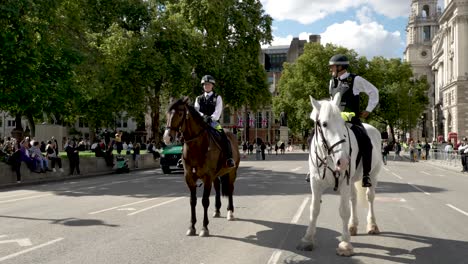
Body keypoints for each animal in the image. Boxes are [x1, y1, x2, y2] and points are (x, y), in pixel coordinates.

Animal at [162, 97, 239, 237]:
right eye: (167, 114)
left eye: (180, 114)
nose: (167, 138)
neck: (196, 146)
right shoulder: (189, 178)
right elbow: (193, 201)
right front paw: (192, 227)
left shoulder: (207, 177)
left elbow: (205, 201)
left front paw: (204, 228)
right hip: (216, 175)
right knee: (217, 187)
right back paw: (217, 210)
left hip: (232, 172)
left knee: (230, 189)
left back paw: (230, 212)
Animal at [298, 93, 382, 256]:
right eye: (324, 124)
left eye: (343, 124)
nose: (343, 161)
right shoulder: (316, 183)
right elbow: (314, 209)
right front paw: (307, 239)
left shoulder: (344, 181)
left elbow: (343, 210)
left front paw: (345, 244)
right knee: (354, 198)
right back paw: (353, 226)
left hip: (373, 176)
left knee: (370, 198)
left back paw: (372, 225)